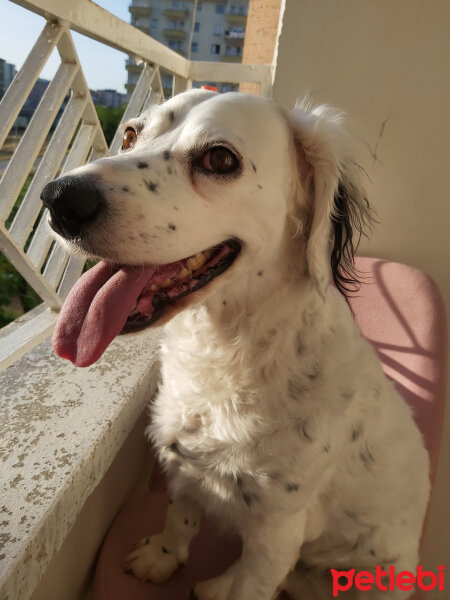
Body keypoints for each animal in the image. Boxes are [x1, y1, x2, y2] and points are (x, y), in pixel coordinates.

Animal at [41, 90, 428, 600]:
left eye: (220, 159)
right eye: (129, 135)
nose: (59, 199)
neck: (225, 355)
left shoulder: (278, 529)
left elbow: (252, 583)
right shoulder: (183, 464)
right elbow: (179, 520)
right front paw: (162, 557)